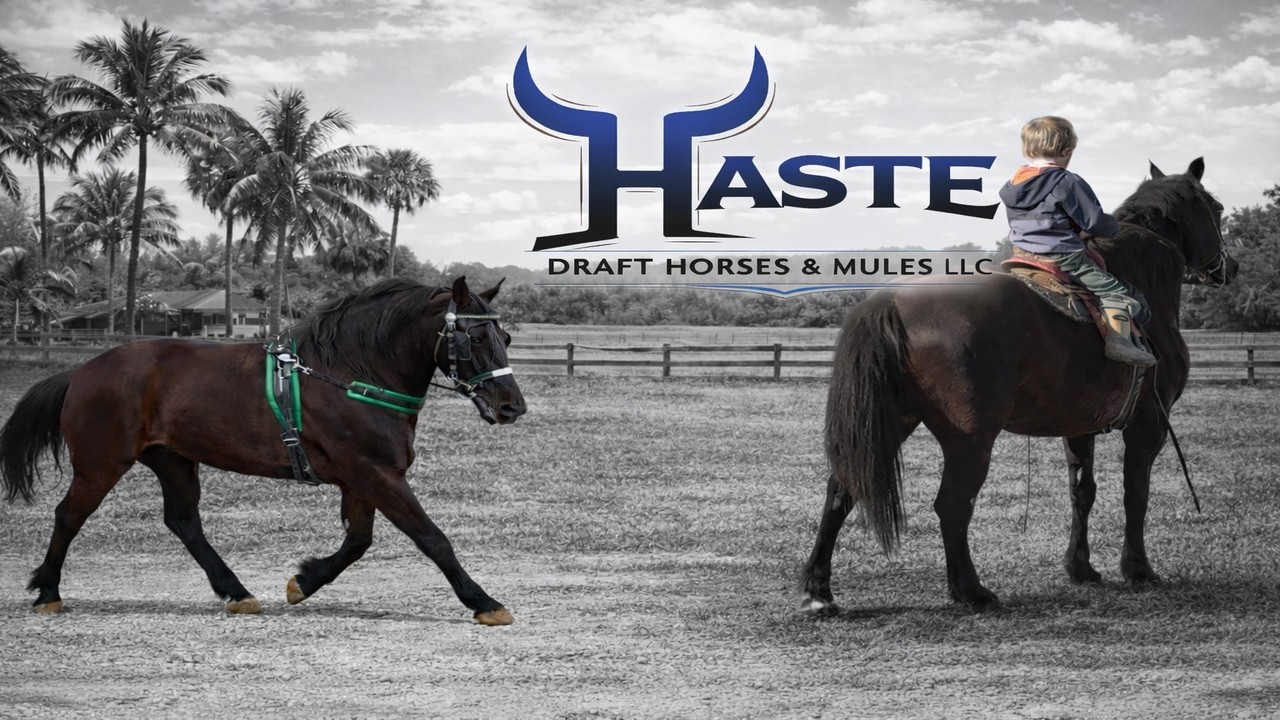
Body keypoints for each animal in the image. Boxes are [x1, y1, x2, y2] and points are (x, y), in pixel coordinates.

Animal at [0, 276, 526, 625]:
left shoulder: (363, 479)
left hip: (174, 460)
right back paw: (47, 591)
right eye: (474, 336)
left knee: (184, 523)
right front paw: (483, 601)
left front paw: (304, 582)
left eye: (505, 336)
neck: (352, 375)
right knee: (69, 515)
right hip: (102, 463)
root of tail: (85, 370)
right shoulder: (374, 474)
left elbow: (358, 542)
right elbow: (431, 538)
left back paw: (235, 592)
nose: (512, 406)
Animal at [800, 158, 1238, 613]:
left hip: (889, 422)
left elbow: (1082, 491)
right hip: (970, 438)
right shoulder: (1149, 423)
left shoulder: (1080, 427)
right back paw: (971, 590)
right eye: (1217, 207)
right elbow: (1136, 494)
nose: (1230, 268)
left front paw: (1081, 568)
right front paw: (1138, 569)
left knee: (842, 491)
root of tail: (891, 303)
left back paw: (818, 591)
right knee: (952, 505)